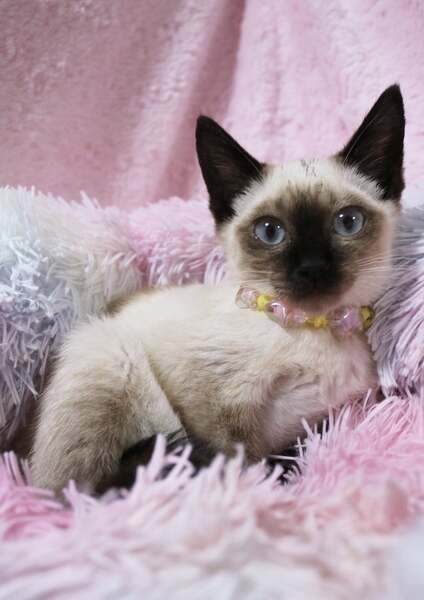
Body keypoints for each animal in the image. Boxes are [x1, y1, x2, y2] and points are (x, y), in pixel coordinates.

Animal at [31, 85, 405, 494]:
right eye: (270, 232)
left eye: (347, 223)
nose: (312, 269)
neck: (312, 325)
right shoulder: (209, 404)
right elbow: (240, 460)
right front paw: (257, 489)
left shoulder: (336, 413)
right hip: (113, 359)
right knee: (83, 491)